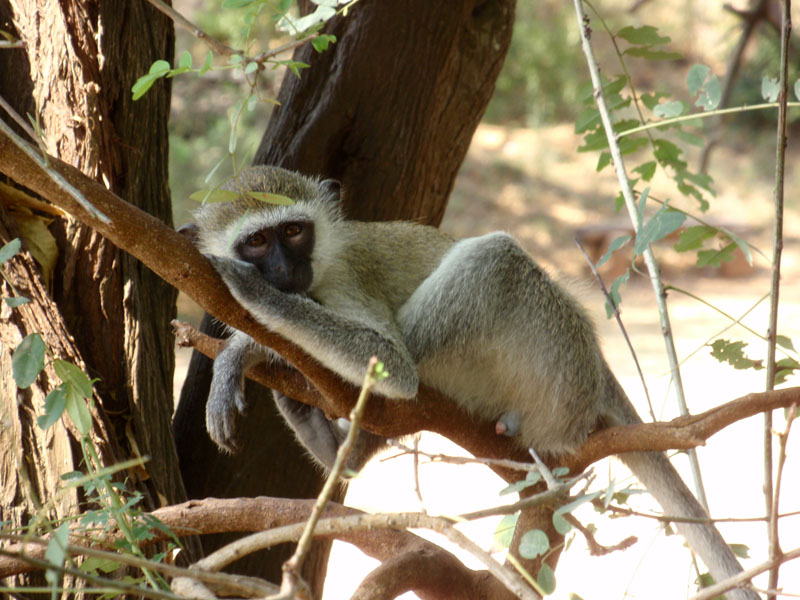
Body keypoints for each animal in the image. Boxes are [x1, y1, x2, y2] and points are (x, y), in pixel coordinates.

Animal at [194, 165, 756, 600]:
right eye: (257, 241)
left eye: (293, 232)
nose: (282, 270)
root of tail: (596, 367)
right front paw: (246, 348)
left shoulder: (343, 282)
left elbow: (394, 363)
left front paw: (250, 321)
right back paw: (328, 441)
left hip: (553, 355)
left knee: (489, 264)